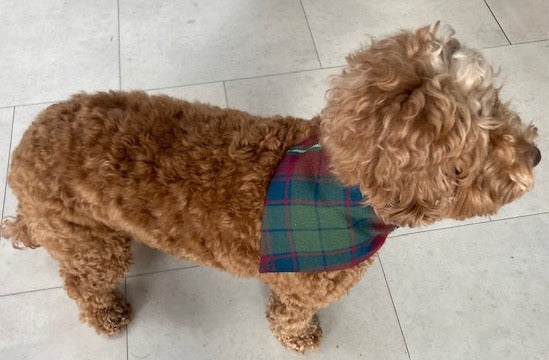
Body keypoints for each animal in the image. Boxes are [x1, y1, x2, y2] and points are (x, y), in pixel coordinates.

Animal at [0, 23, 540, 352]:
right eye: (468, 158)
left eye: (496, 103)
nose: (536, 156)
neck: (339, 190)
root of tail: (22, 151)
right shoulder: (301, 290)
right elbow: (293, 317)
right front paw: (301, 338)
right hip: (89, 245)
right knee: (82, 284)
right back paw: (108, 315)